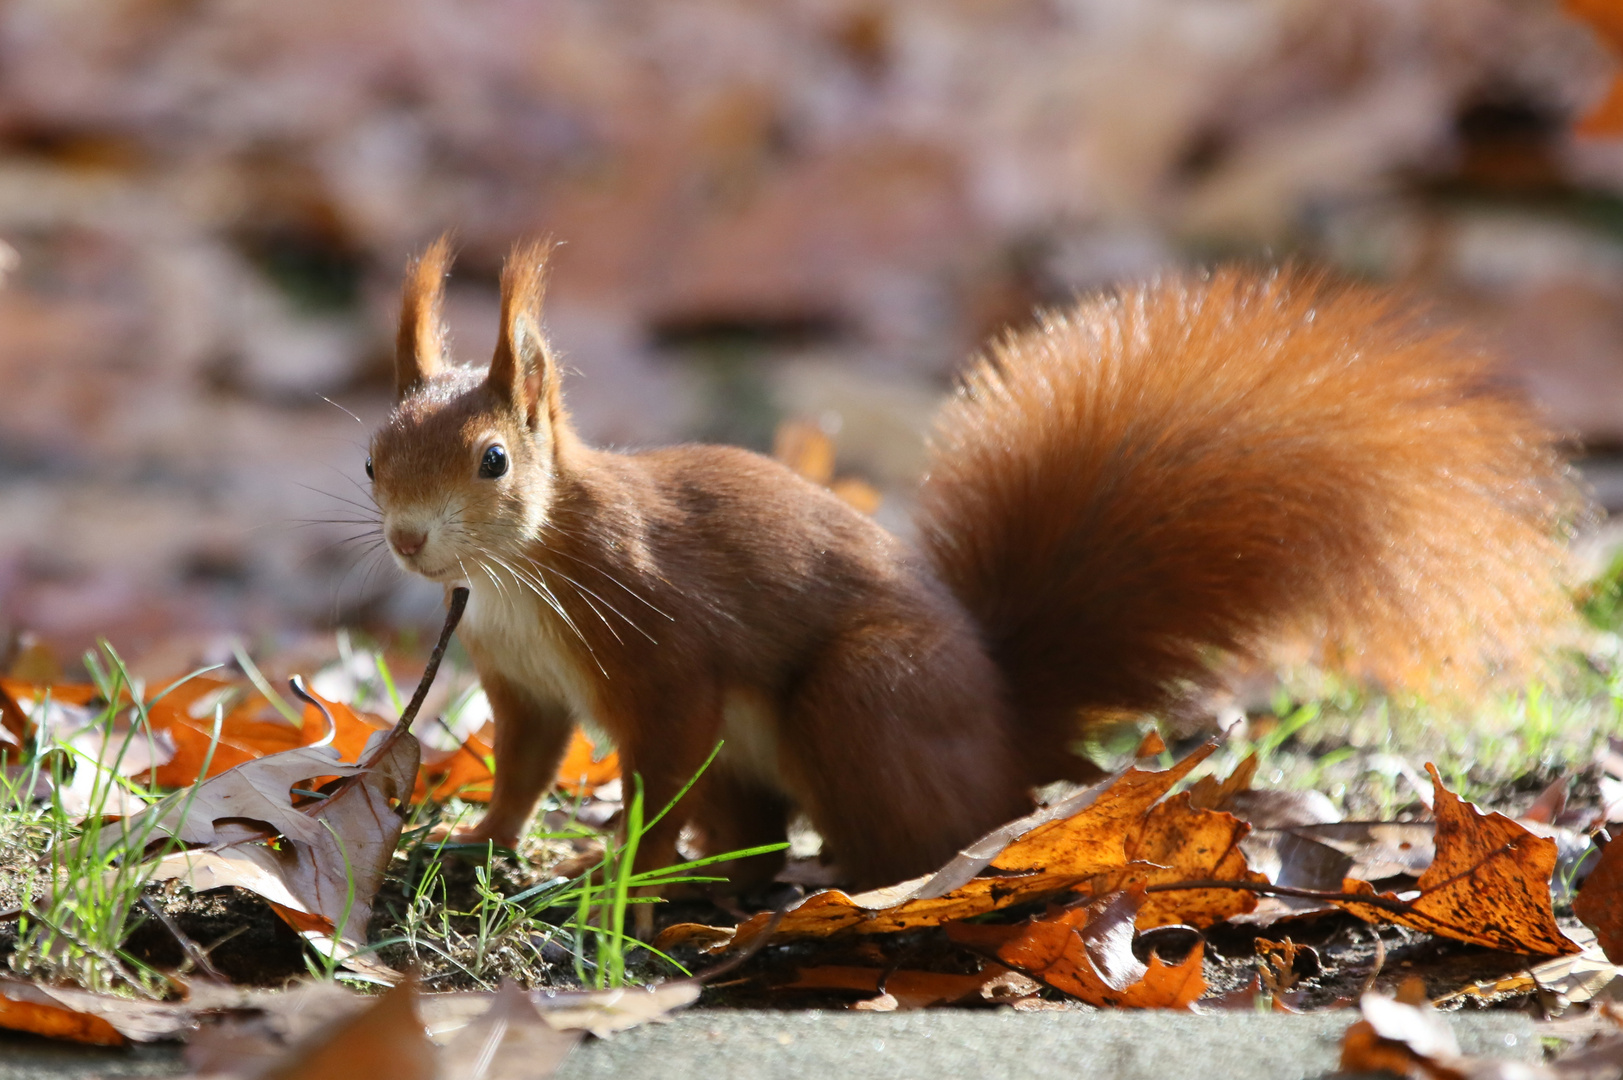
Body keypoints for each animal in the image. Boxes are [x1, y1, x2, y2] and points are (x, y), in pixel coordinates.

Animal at [368, 235, 1584, 883]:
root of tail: (1006, 723)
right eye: (375, 455)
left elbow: (658, 768)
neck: (525, 572)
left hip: (864, 697)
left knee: (909, 833)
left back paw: (836, 880)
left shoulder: (658, 645)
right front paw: (482, 843)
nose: (408, 541)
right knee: (755, 831)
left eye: (490, 460)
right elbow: (525, 763)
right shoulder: (523, 679)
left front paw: (610, 867)